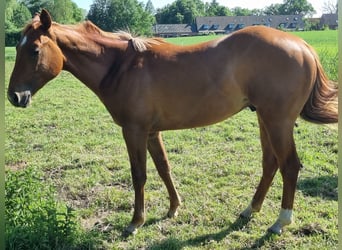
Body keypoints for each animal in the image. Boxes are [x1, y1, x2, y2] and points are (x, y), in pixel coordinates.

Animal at [7, 9, 336, 235]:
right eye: (18, 47)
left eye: (34, 50)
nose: (14, 96)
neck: (120, 66)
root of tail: (303, 45)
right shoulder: (152, 132)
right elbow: (164, 168)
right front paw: (173, 208)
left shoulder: (134, 131)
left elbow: (139, 175)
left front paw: (135, 222)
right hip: (264, 119)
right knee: (270, 164)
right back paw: (248, 210)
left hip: (277, 121)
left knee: (289, 165)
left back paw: (280, 221)